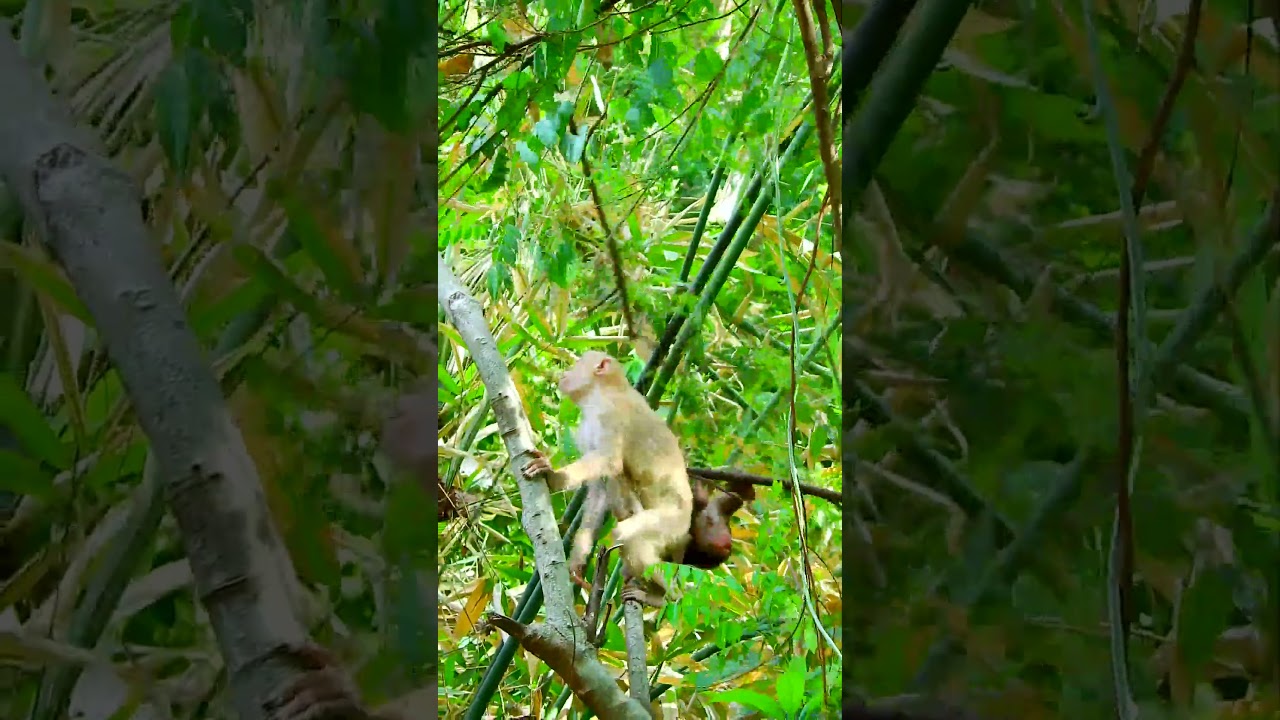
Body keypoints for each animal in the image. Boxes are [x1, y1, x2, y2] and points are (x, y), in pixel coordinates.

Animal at [522, 351, 693, 607]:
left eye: (579, 362)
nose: (566, 371)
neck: (599, 394)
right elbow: (598, 491)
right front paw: (577, 563)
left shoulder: (611, 413)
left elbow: (610, 461)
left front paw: (552, 476)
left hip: (673, 521)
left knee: (630, 533)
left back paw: (659, 595)